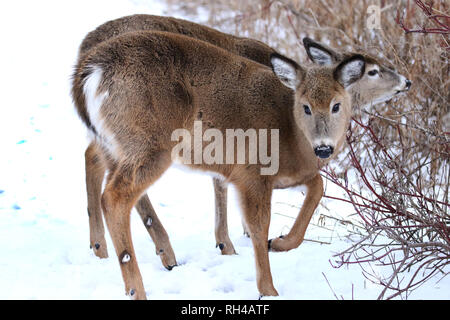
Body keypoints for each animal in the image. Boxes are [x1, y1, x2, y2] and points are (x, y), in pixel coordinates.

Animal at [78, 14, 412, 264]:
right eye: (372, 70)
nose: (406, 81)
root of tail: (85, 59)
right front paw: (246, 238)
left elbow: (221, 182)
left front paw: (230, 239)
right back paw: (164, 252)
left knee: (92, 156)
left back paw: (99, 247)